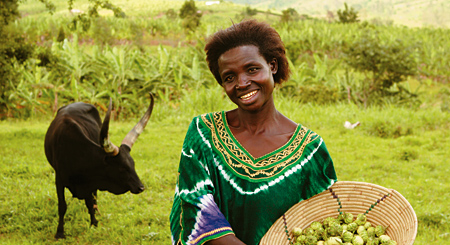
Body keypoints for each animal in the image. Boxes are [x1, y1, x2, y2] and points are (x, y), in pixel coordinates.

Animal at [44, 94, 153, 238]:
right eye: (122, 168)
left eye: (133, 164)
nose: (141, 187)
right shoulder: (59, 179)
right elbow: (62, 206)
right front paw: (60, 233)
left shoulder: (91, 182)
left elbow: (91, 203)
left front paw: (94, 224)